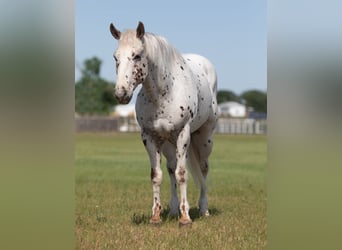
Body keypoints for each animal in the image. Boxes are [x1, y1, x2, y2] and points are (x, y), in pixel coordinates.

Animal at [109, 21, 218, 227]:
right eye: (115, 57)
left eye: (137, 55)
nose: (121, 94)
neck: (164, 93)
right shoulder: (149, 137)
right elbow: (157, 175)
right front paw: (156, 216)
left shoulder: (183, 134)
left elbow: (182, 174)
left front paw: (185, 219)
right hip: (168, 144)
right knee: (171, 169)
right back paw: (175, 210)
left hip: (204, 139)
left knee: (203, 170)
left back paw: (203, 209)